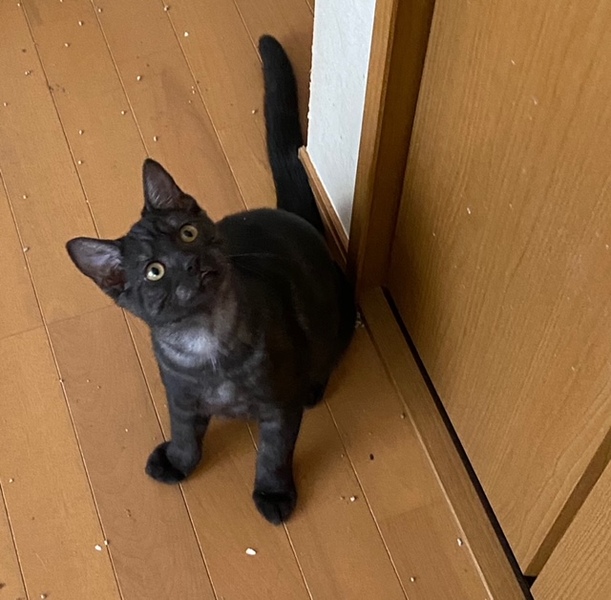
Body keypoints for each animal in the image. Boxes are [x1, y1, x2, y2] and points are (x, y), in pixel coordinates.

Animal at [66, 35, 356, 525]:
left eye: (187, 233)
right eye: (155, 270)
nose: (189, 262)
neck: (206, 343)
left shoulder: (279, 406)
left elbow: (273, 454)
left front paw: (274, 494)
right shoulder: (180, 397)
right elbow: (186, 435)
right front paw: (178, 464)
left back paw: (315, 386)